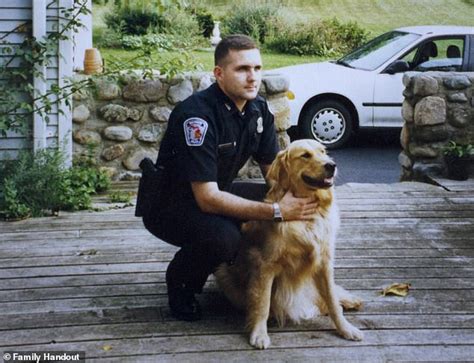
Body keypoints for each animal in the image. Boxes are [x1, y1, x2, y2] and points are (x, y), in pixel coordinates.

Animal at [215, 139, 362, 350]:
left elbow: (333, 301)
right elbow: (263, 303)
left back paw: (350, 301)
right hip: (224, 273)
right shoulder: (265, 264)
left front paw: (346, 329)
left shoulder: (324, 262)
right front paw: (259, 334)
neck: (308, 216)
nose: (331, 165)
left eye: (323, 151)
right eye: (305, 155)